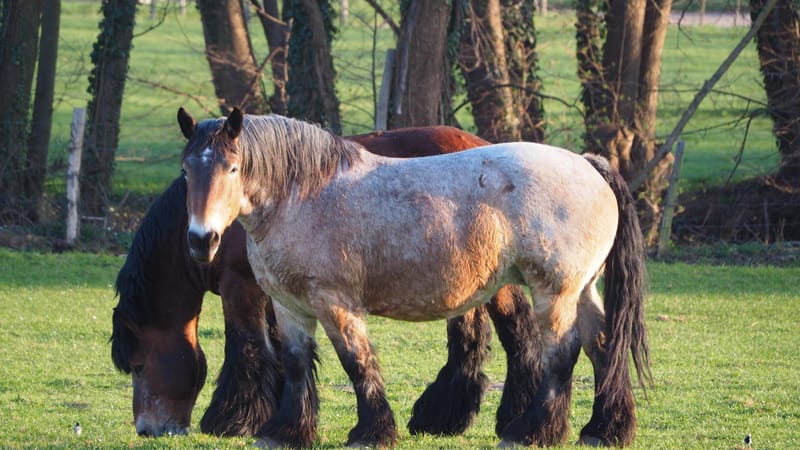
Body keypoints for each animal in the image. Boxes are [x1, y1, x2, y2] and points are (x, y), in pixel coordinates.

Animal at [111, 124, 540, 437]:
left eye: (137, 366)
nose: (148, 430)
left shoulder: (241, 288)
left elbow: (247, 347)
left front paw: (232, 419)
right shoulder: (278, 290)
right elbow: (283, 351)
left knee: (517, 330)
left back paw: (514, 416)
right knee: (470, 336)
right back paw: (442, 417)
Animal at [179, 107, 651, 448]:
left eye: (233, 168)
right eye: (187, 171)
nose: (202, 240)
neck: (303, 194)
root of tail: (588, 164)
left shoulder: (335, 303)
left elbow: (356, 361)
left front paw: (371, 433)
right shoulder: (288, 305)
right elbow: (296, 364)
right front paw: (286, 432)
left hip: (554, 292)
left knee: (562, 353)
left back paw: (531, 431)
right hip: (583, 289)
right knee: (602, 345)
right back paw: (604, 429)